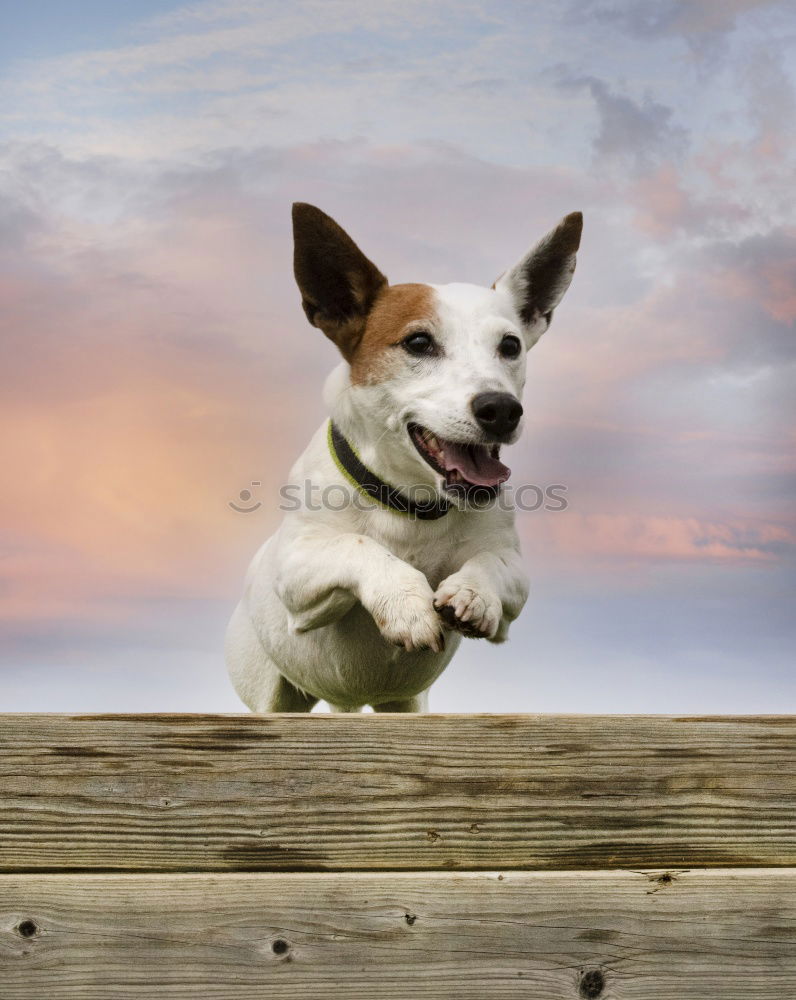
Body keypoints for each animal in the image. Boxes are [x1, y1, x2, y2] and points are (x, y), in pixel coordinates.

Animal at [227, 203, 580, 716]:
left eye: (510, 345)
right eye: (417, 343)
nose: (501, 409)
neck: (412, 503)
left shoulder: (514, 574)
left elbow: (492, 564)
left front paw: (473, 592)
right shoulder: (297, 570)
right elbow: (357, 545)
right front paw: (406, 601)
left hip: (408, 703)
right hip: (269, 695)